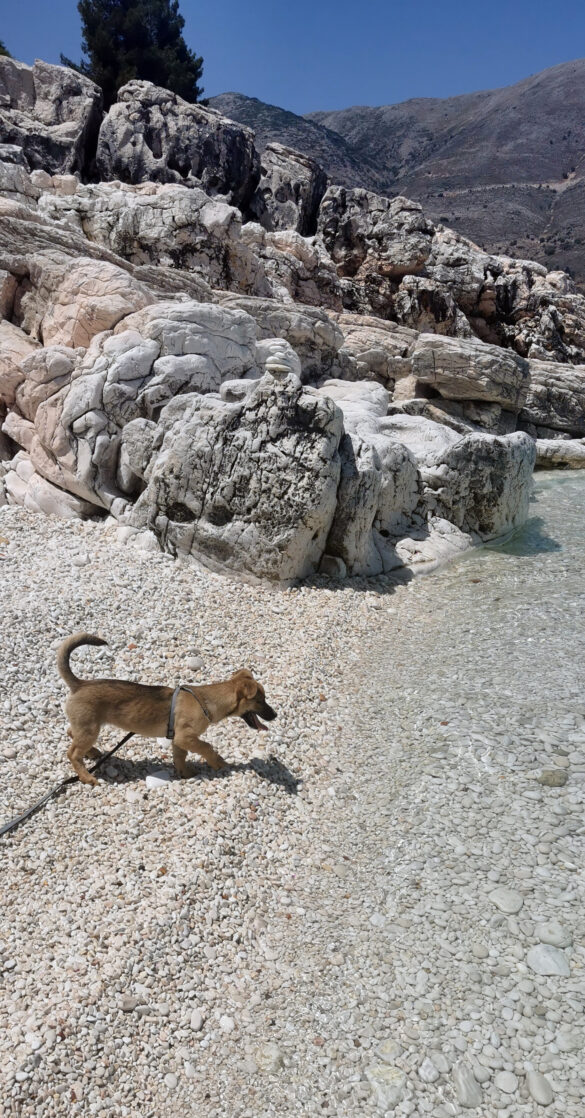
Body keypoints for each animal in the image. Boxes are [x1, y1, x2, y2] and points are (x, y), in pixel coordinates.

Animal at [57, 633, 277, 787]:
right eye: (261, 701)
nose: (275, 715)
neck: (206, 700)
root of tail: (80, 684)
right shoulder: (185, 737)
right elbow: (207, 746)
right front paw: (218, 763)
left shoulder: (179, 740)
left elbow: (180, 757)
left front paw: (186, 774)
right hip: (90, 729)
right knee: (72, 753)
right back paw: (86, 777)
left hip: (87, 727)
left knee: (71, 733)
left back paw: (92, 752)